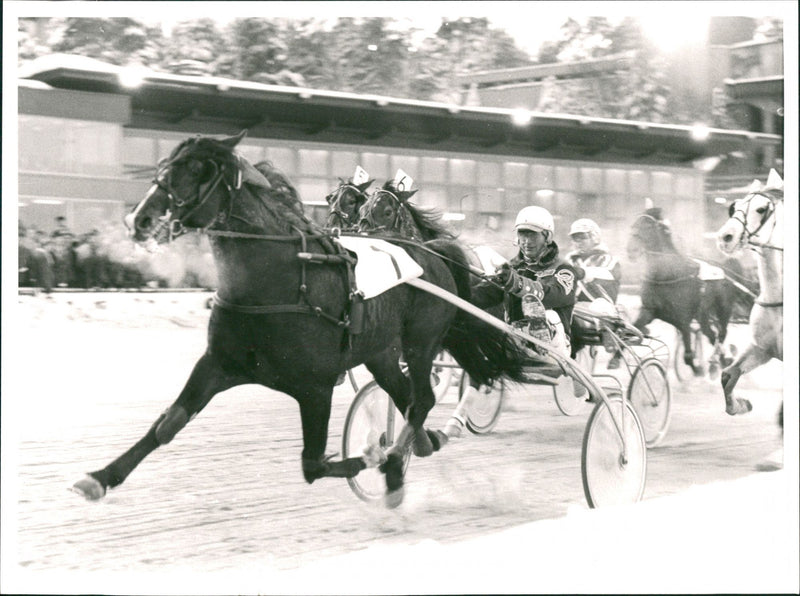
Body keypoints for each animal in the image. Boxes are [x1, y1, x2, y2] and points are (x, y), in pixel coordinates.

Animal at [70, 132, 532, 508]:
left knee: (421, 399)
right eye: (166, 163)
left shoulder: (315, 386)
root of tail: (433, 253)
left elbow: (313, 465)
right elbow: (168, 424)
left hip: (419, 343)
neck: (281, 280)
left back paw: (397, 455)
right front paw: (100, 477)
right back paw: (418, 446)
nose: (140, 219)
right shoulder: (219, 363)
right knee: (409, 399)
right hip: (381, 352)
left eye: (199, 169)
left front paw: (376, 455)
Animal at [624, 207, 744, 374]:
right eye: (633, 225)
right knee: (711, 334)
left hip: (723, 309)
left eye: (647, 226)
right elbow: (633, 329)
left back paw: (722, 359)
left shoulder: (683, 319)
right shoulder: (649, 311)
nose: (631, 250)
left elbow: (687, 355)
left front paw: (698, 369)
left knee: (721, 334)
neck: (666, 274)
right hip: (703, 315)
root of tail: (727, 271)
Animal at [716, 170, 784, 416]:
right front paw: (740, 404)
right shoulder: (761, 348)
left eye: (761, 209)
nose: (725, 237)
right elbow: (728, 374)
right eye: (735, 206)